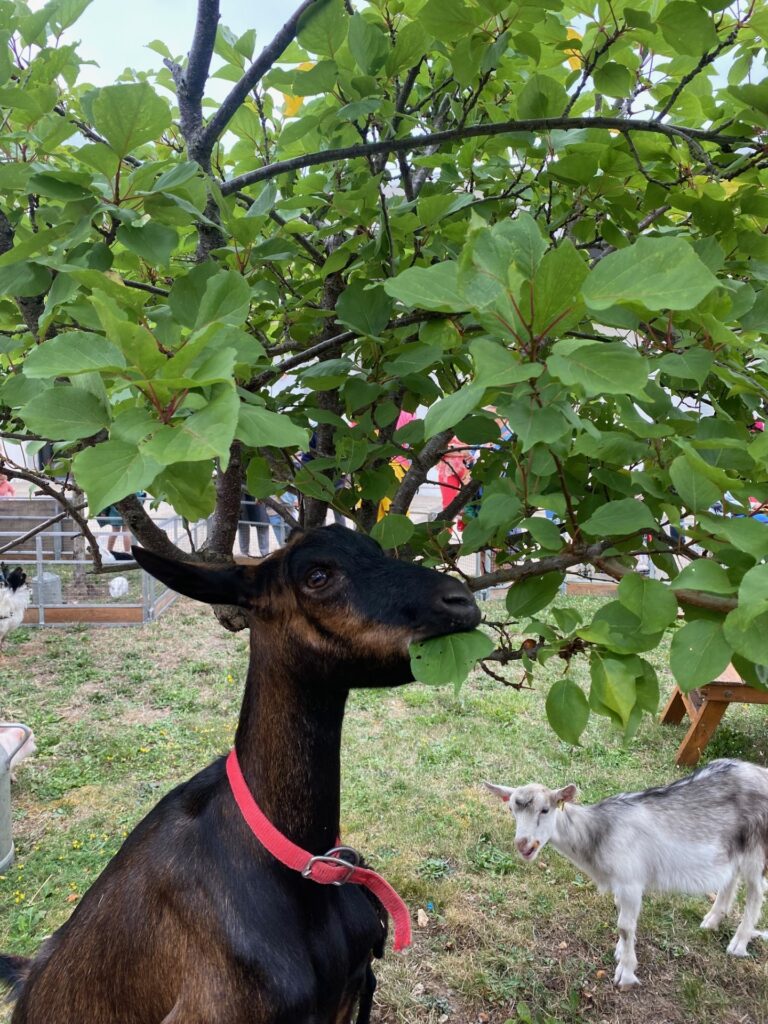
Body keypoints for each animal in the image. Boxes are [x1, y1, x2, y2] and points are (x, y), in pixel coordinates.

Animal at [487, 765, 768, 987]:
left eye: (545, 809)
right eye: (512, 809)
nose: (523, 844)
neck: (599, 833)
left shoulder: (631, 881)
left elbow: (625, 925)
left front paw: (626, 973)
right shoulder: (620, 884)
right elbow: (621, 915)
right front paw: (620, 952)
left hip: (756, 847)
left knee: (756, 891)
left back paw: (739, 943)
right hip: (732, 847)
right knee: (731, 877)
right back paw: (712, 920)